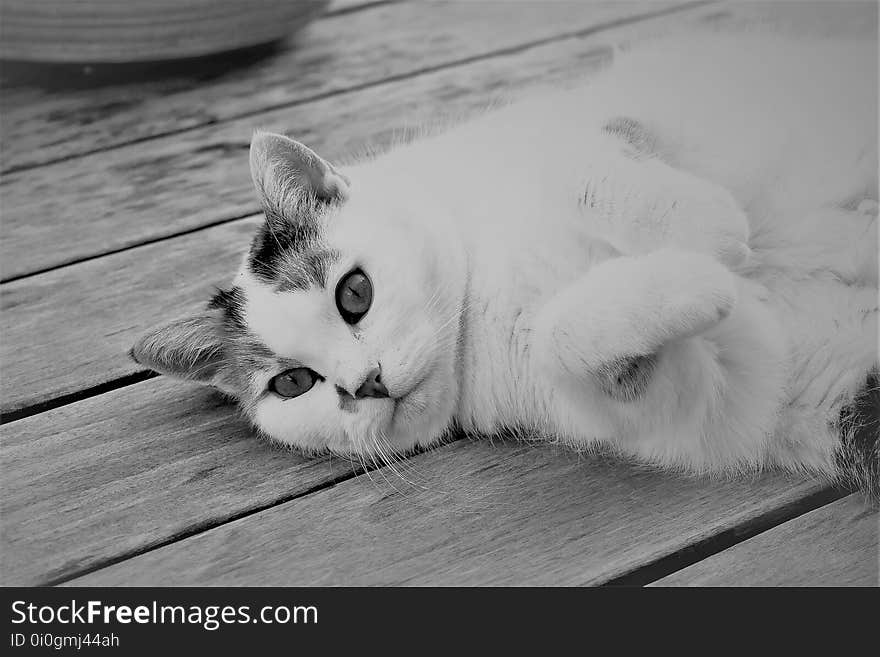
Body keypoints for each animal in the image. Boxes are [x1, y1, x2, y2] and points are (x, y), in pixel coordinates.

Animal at [132, 34, 880, 498]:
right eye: (292, 383)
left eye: (355, 293)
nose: (364, 384)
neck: (485, 286)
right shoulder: (700, 387)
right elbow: (568, 337)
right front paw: (704, 277)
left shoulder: (645, 112)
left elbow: (583, 167)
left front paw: (716, 231)